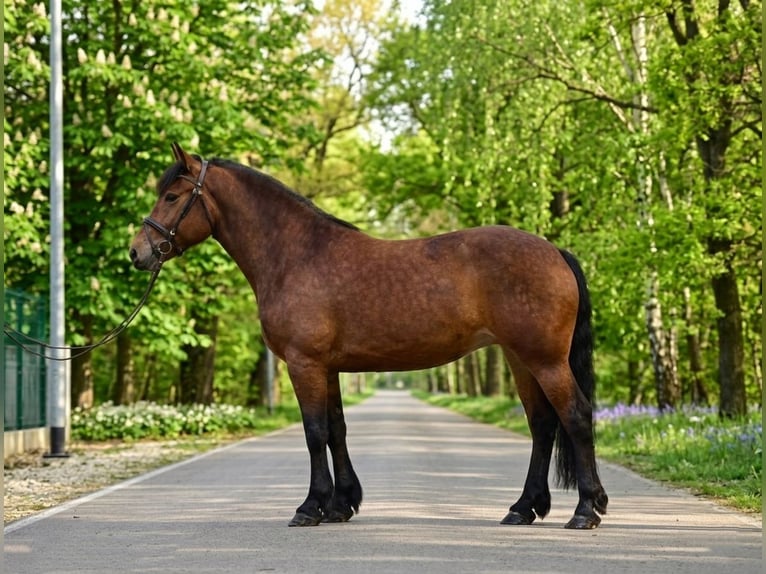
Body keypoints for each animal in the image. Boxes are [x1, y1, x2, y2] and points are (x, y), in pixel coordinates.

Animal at [129, 143, 608, 529]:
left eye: (171, 196)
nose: (138, 252)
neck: (297, 255)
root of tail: (555, 251)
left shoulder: (304, 363)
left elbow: (314, 432)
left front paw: (310, 508)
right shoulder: (328, 367)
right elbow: (336, 430)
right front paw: (341, 505)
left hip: (544, 360)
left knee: (575, 416)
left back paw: (585, 511)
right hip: (519, 358)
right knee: (542, 425)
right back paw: (523, 508)